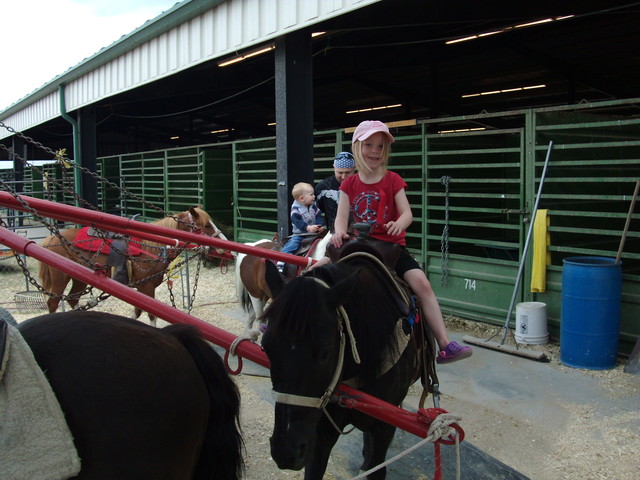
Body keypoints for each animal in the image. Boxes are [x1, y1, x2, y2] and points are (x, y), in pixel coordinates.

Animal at [38, 206, 226, 322]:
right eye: (206, 225)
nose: (224, 243)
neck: (151, 245)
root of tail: (50, 239)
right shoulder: (147, 287)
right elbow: (151, 315)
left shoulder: (143, 288)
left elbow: (137, 312)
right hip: (60, 278)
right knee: (53, 303)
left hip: (79, 278)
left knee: (72, 298)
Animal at [260, 244, 436, 480]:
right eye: (266, 347)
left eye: (325, 352)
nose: (285, 451)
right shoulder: (322, 428)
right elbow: (314, 468)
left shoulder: (384, 426)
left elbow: (377, 468)